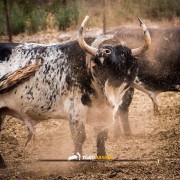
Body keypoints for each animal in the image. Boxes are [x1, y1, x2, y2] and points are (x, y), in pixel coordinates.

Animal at [0, 16, 151, 167]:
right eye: (101, 48)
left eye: (123, 53)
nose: (104, 52)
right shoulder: (76, 111)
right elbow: (79, 137)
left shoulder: (103, 113)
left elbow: (101, 136)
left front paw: (102, 157)